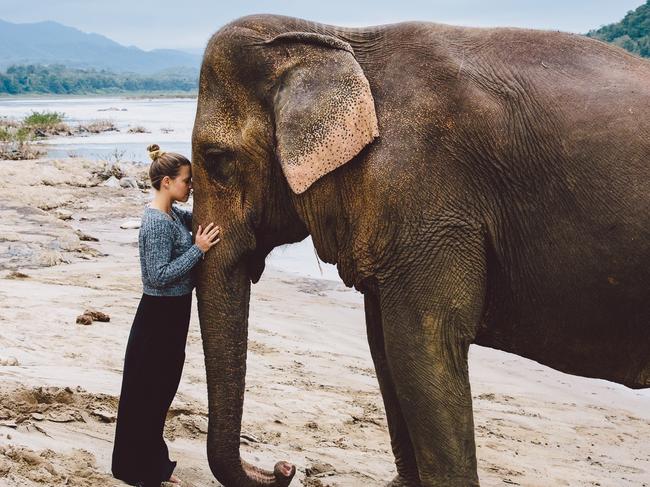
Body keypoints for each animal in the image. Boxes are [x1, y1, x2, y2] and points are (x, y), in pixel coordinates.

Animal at [189, 13, 648, 487]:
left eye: (216, 159)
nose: (286, 467)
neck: (338, 37)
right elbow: (384, 347)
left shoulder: (430, 199)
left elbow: (422, 345)